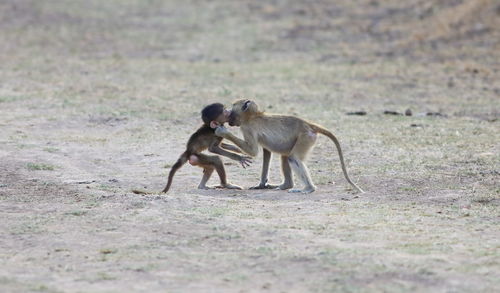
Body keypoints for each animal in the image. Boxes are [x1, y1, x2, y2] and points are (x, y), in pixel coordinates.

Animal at [215, 99, 364, 193]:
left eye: (233, 105)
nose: (228, 110)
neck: (252, 116)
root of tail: (308, 125)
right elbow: (266, 152)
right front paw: (261, 184)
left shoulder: (247, 128)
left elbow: (253, 151)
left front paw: (223, 133)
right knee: (286, 157)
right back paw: (286, 185)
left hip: (306, 138)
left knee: (293, 158)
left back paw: (309, 189)